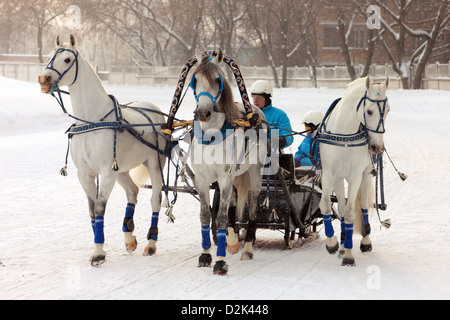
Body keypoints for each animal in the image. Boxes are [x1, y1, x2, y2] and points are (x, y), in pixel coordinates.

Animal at [38, 34, 168, 264]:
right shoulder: (85, 174)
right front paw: (100, 246)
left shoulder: (107, 172)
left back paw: (151, 243)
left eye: (66, 60)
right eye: (49, 56)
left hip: (154, 163)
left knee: (155, 199)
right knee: (132, 192)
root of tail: (153, 109)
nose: (44, 79)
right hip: (122, 169)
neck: (92, 121)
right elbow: (92, 210)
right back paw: (129, 237)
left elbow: (100, 207)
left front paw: (98, 252)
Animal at [316, 76, 390, 266]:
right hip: (339, 178)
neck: (344, 137)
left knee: (363, 205)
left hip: (365, 176)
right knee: (342, 207)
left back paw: (365, 242)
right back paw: (342, 244)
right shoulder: (329, 173)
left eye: (387, 110)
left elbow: (351, 212)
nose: (377, 147)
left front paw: (349, 255)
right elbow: (327, 205)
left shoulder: (356, 175)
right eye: (369, 111)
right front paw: (333, 244)